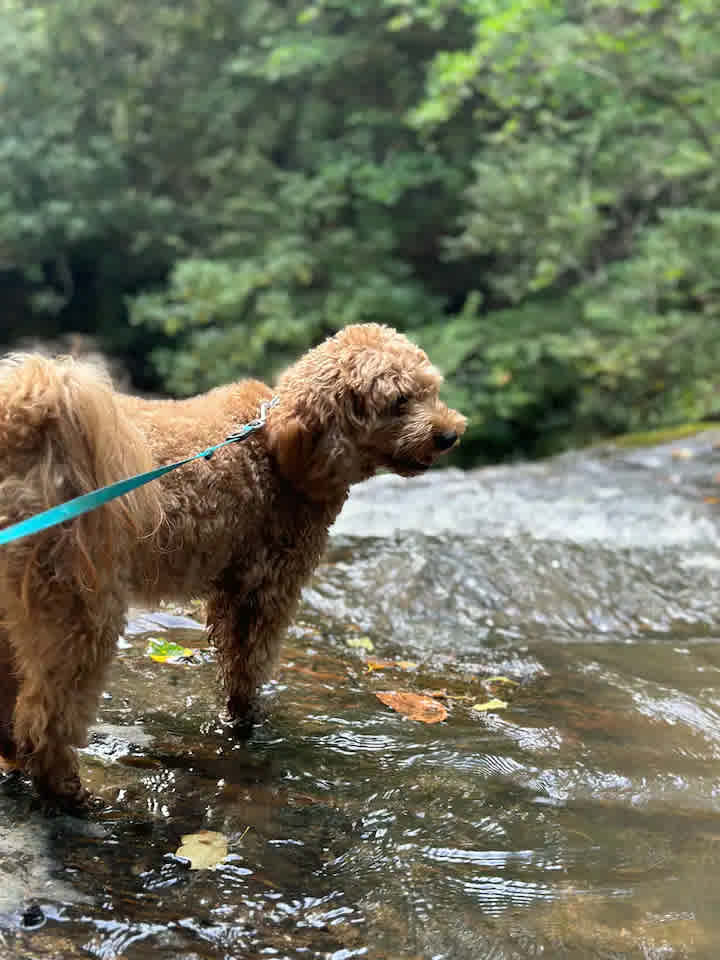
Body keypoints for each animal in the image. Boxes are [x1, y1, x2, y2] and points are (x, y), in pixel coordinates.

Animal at [0, 324, 466, 808]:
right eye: (399, 402)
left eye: (432, 391)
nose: (451, 434)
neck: (277, 449)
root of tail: (25, 420)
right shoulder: (266, 588)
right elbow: (249, 665)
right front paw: (246, 723)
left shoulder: (233, 588)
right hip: (79, 602)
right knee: (50, 709)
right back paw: (63, 787)